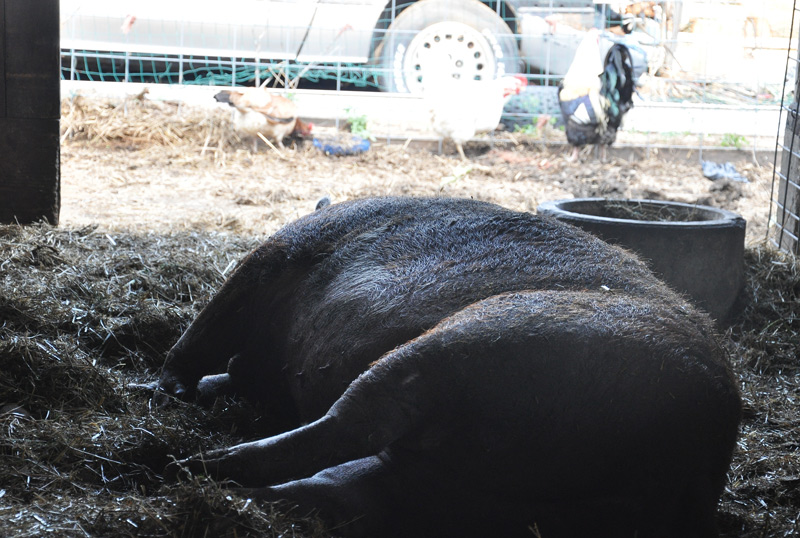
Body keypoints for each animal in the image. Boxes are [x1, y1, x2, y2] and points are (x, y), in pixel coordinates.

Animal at [156, 197, 741, 538]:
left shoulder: (282, 251)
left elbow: (206, 329)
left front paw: (176, 388)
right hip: (449, 491)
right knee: (341, 488)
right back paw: (229, 485)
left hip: (478, 338)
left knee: (350, 425)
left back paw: (192, 463)